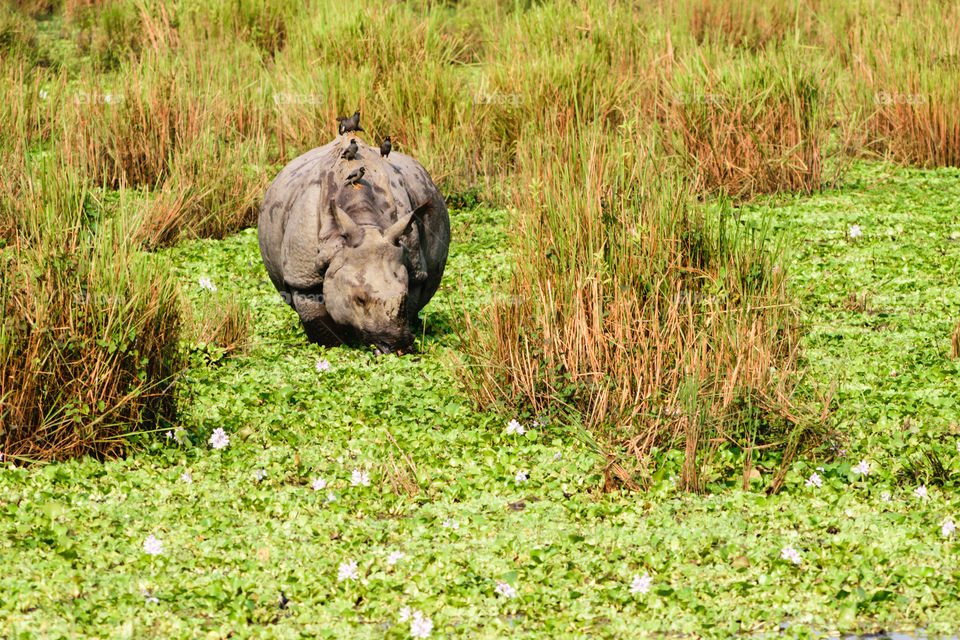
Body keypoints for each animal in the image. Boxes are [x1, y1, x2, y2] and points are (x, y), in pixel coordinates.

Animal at [258, 135, 450, 353]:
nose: (398, 346)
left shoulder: (415, 271)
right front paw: (333, 348)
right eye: (359, 300)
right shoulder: (303, 277)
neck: (364, 222)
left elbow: (408, 304)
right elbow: (318, 319)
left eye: (405, 295)